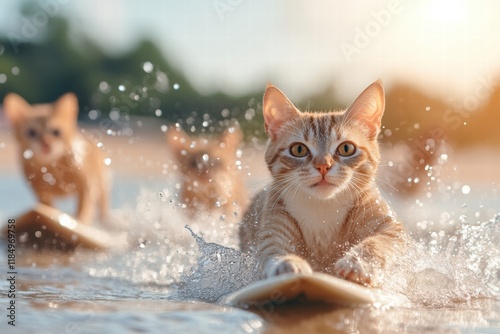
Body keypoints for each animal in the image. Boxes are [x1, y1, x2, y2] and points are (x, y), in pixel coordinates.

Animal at [3, 92, 109, 226]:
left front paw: (81, 220)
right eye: (31, 133)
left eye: (56, 132)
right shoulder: (40, 191)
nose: (46, 143)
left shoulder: (88, 184)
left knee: (103, 202)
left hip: (102, 181)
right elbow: (47, 206)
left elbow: (84, 207)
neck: (51, 169)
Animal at [240, 81, 408, 288]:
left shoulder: (392, 228)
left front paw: (359, 263)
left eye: (346, 148)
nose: (323, 166)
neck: (323, 208)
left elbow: (380, 241)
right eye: (298, 149)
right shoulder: (273, 226)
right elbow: (273, 249)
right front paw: (288, 263)